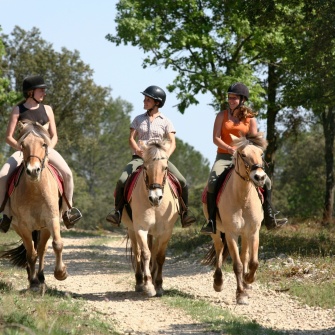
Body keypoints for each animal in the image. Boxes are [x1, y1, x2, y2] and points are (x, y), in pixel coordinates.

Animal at [0, 121, 68, 292]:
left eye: (44, 144)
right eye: (22, 145)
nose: (33, 171)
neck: (35, 190)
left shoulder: (52, 220)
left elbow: (57, 244)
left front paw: (61, 273)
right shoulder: (23, 226)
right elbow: (31, 254)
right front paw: (33, 283)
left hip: (43, 229)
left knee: (42, 250)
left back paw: (42, 278)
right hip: (22, 228)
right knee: (32, 250)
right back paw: (34, 280)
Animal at [122, 140, 181, 298]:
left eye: (165, 167)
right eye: (145, 167)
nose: (155, 197)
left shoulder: (166, 231)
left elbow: (159, 256)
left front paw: (158, 285)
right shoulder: (141, 229)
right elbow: (145, 254)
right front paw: (148, 285)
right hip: (132, 229)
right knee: (137, 253)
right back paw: (139, 282)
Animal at [202, 133, 268, 306]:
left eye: (261, 154)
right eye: (243, 154)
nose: (259, 177)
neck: (242, 197)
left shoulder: (253, 232)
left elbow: (252, 262)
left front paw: (248, 280)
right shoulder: (231, 233)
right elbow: (237, 264)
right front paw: (240, 294)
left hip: (244, 235)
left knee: (244, 255)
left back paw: (246, 284)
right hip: (216, 232)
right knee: (219, 250)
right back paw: (218, 282)